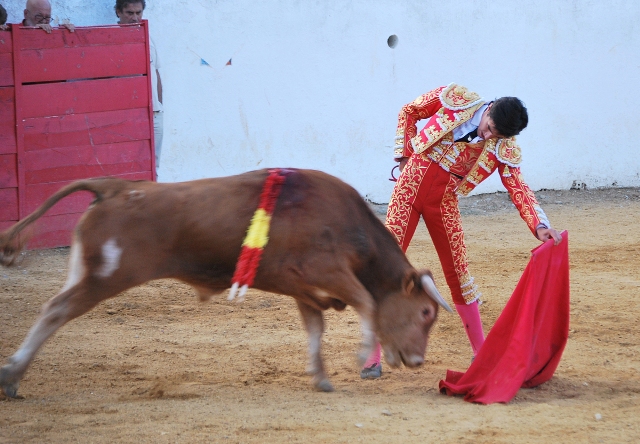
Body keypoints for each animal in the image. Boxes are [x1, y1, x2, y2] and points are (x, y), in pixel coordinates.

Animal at [0, 168, 450, 398]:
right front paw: (360, 356)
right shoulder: (328, 273)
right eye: (426, 311)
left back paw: (14, 376)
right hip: (106, 276)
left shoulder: (306, 290)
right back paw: (12, 375)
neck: (350, 228)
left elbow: (315, 331)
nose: (417, 361)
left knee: (55, 306)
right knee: (55, 311)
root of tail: (117, 186)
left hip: (87, 271)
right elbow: (368, 303)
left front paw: (320, 377)